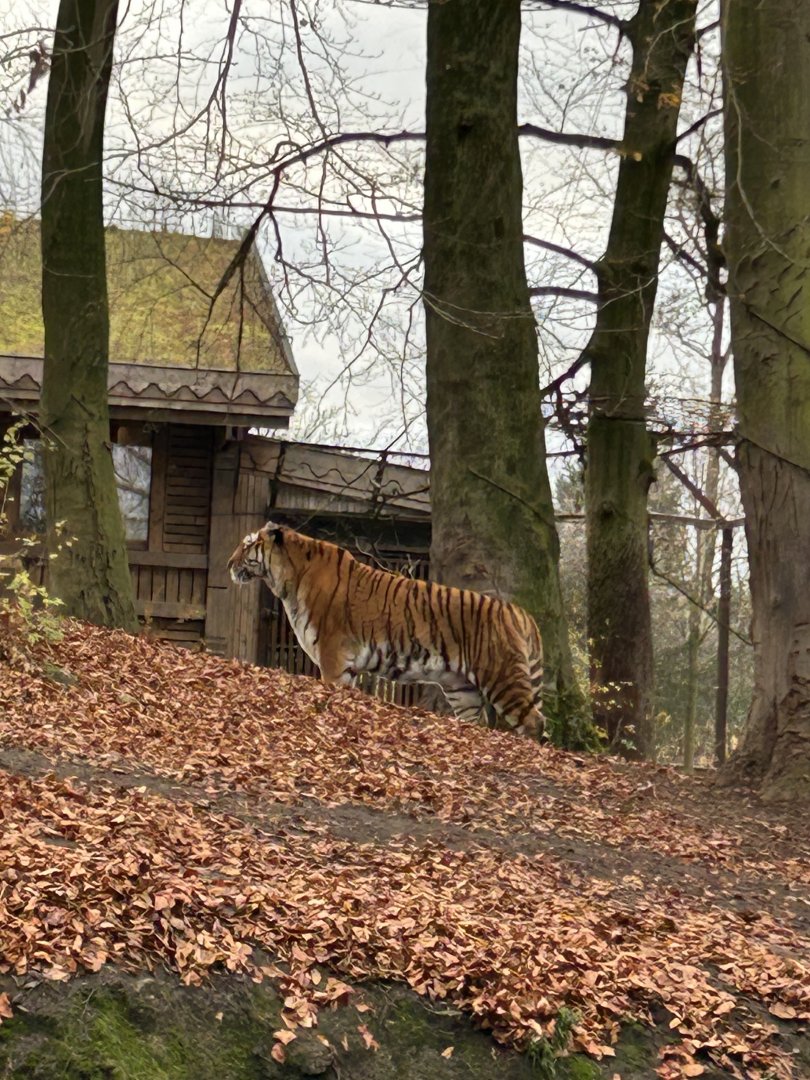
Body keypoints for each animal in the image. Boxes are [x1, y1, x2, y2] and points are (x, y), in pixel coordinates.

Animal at [228, 522, 545, 738]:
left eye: (246, 545)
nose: (229, 563)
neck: (285, 580)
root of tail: (523, 613)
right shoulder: (347, 665)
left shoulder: (333, 656)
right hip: (463, 689)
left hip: (503, 677)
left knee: (534, 721)